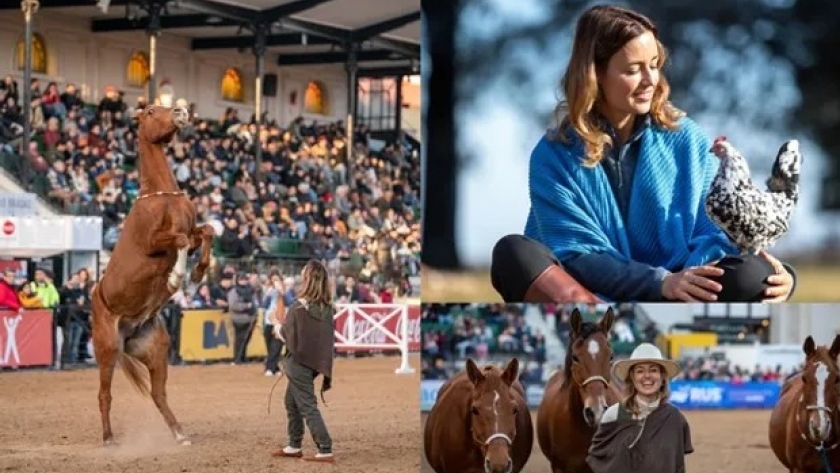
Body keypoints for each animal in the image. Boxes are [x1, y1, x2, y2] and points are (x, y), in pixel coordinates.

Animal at [90, 104, 215, 446]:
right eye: (149, 111)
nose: (181, 111)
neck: (162, 195)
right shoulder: (155, 242)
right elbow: (181, 241)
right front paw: (176, 278)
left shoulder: (192, 230)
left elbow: (206, 232)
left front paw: (198, 273)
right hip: (106, 350)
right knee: (104, 395)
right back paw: (108, 438)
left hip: (155, 351)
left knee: (159, 395)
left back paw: (180, 434)